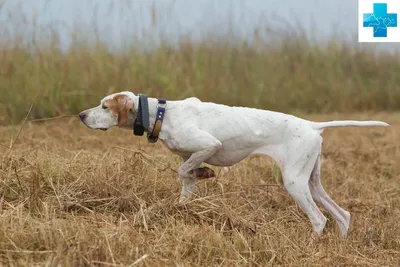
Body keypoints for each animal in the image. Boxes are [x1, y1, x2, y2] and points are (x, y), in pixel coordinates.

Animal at [79, 91, 390, 238]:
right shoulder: (189, 165)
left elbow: (185, 169)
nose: (81, 115)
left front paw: (206, 171)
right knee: (342, 215)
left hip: (294, 183)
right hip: (311, 182)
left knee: (319, 219)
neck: (161, 113)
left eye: (105, 106)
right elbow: (185, 182)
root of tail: (312, 125)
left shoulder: (209, 144)